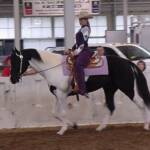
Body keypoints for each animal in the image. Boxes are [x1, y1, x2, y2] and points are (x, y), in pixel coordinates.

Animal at [10, 49, 150, 135]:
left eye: (16, 61)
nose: (12, 79)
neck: (53, 67)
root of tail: (127, 62)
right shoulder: (57, 94)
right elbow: (54, 113)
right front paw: (73, 125)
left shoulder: (62, 94)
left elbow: (63, 112)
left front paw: (63, 130)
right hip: (109, 89)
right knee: (111, 107)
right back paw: (100, 127)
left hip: (127, 87)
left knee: (141, 103)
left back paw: (146, 125)